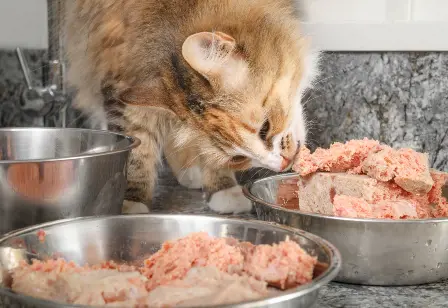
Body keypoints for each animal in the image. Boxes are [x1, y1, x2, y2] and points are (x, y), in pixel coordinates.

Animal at [65, 0, 320, 213]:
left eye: (265, 128)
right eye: (237, 159)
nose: (282, 163)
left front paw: (221, 187)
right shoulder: (117, 66)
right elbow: (138, 148)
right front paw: (130, 201)